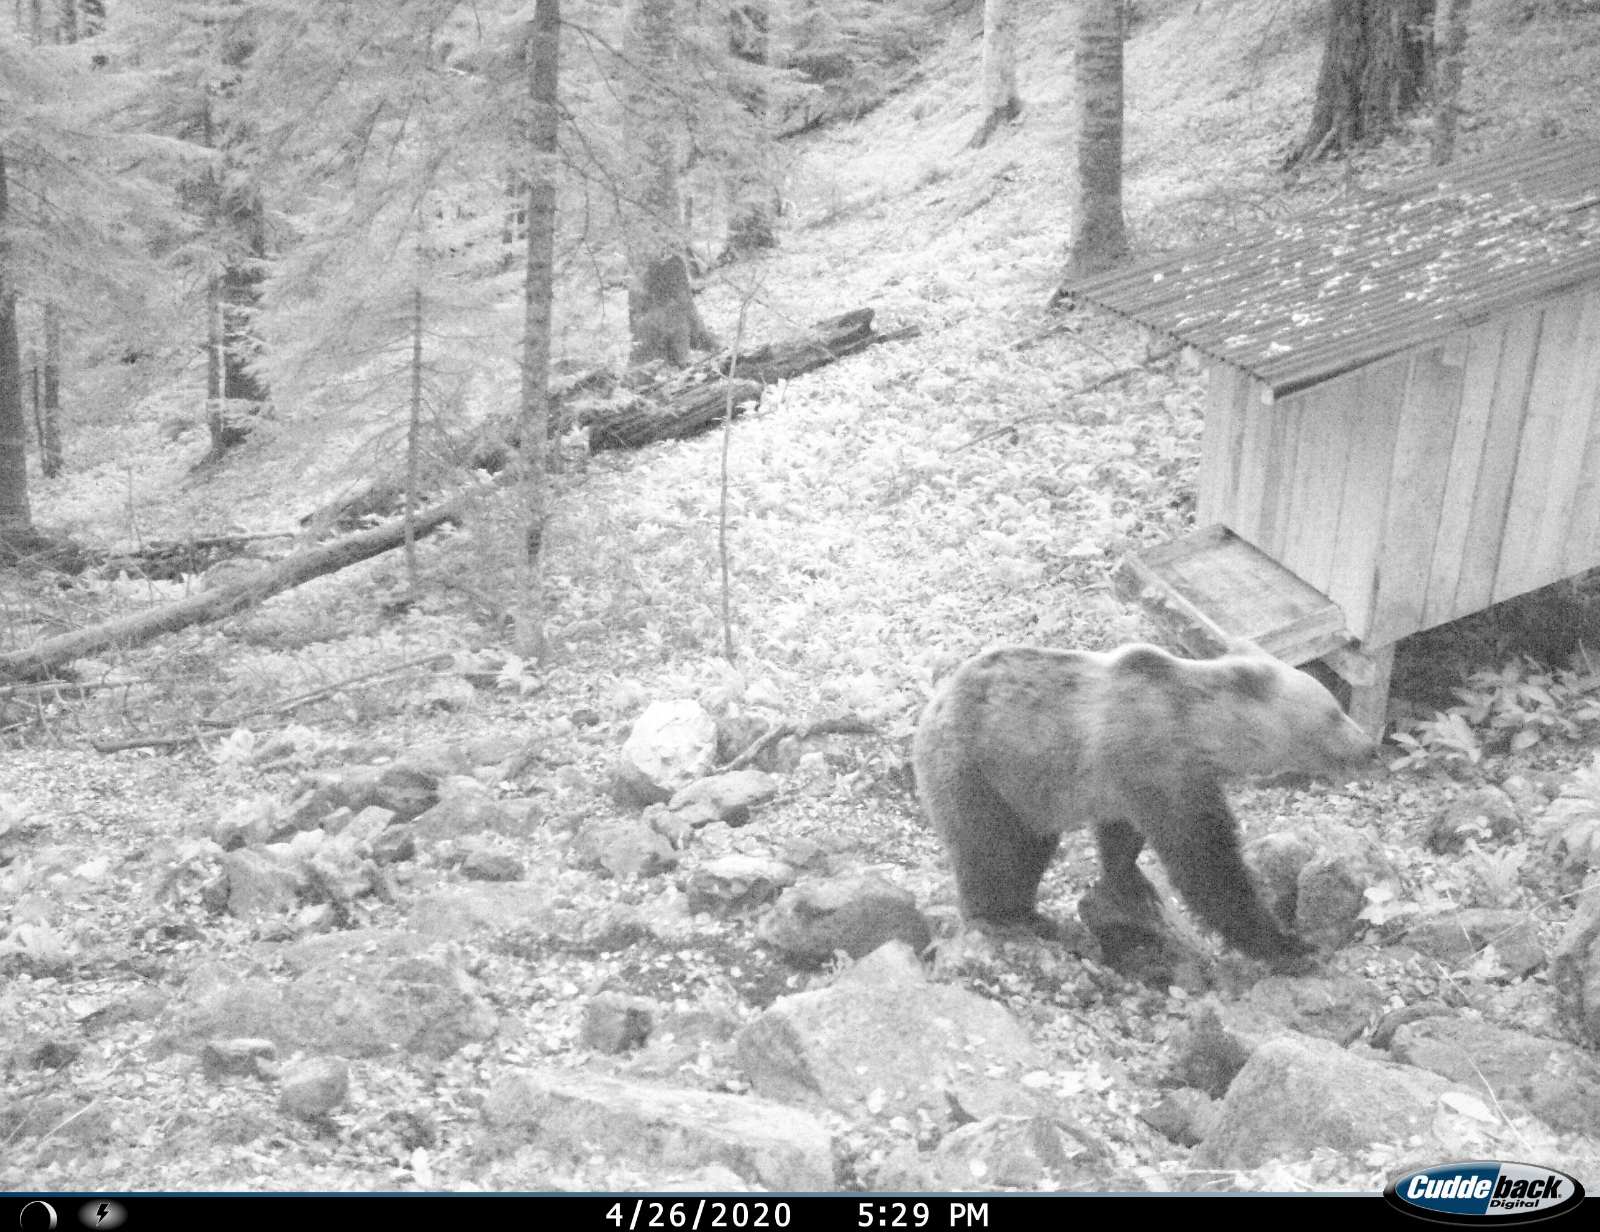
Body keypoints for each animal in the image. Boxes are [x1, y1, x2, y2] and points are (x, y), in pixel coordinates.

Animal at [915, 643, 1376, 960]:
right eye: (1335, 710)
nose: (1369, 746)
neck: (1205, 733)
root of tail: (935, 703)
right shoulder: (1160, 766)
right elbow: (1206, 866)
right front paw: (1289, 946)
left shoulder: (1129, 783)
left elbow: (1123, 837)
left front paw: (1132, 882)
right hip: (979, 774)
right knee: (991, 852)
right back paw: (1003, 917)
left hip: (1022, 794)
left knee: (1029, 851)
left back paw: (1028, 911)